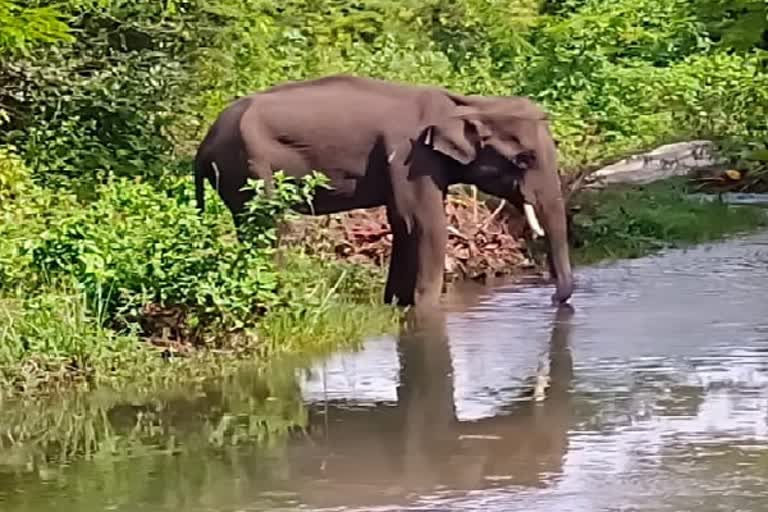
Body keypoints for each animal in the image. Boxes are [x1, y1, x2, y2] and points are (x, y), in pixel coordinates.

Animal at [195, 71, 572, 304]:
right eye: (524, 159)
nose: (553, 297)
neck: (467, 103)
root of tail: (203, 144)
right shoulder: (410, 157)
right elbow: (426, 225)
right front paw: (425, 309)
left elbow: (403, 224)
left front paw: (397, 304)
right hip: (249, 166)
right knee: (266, 224)